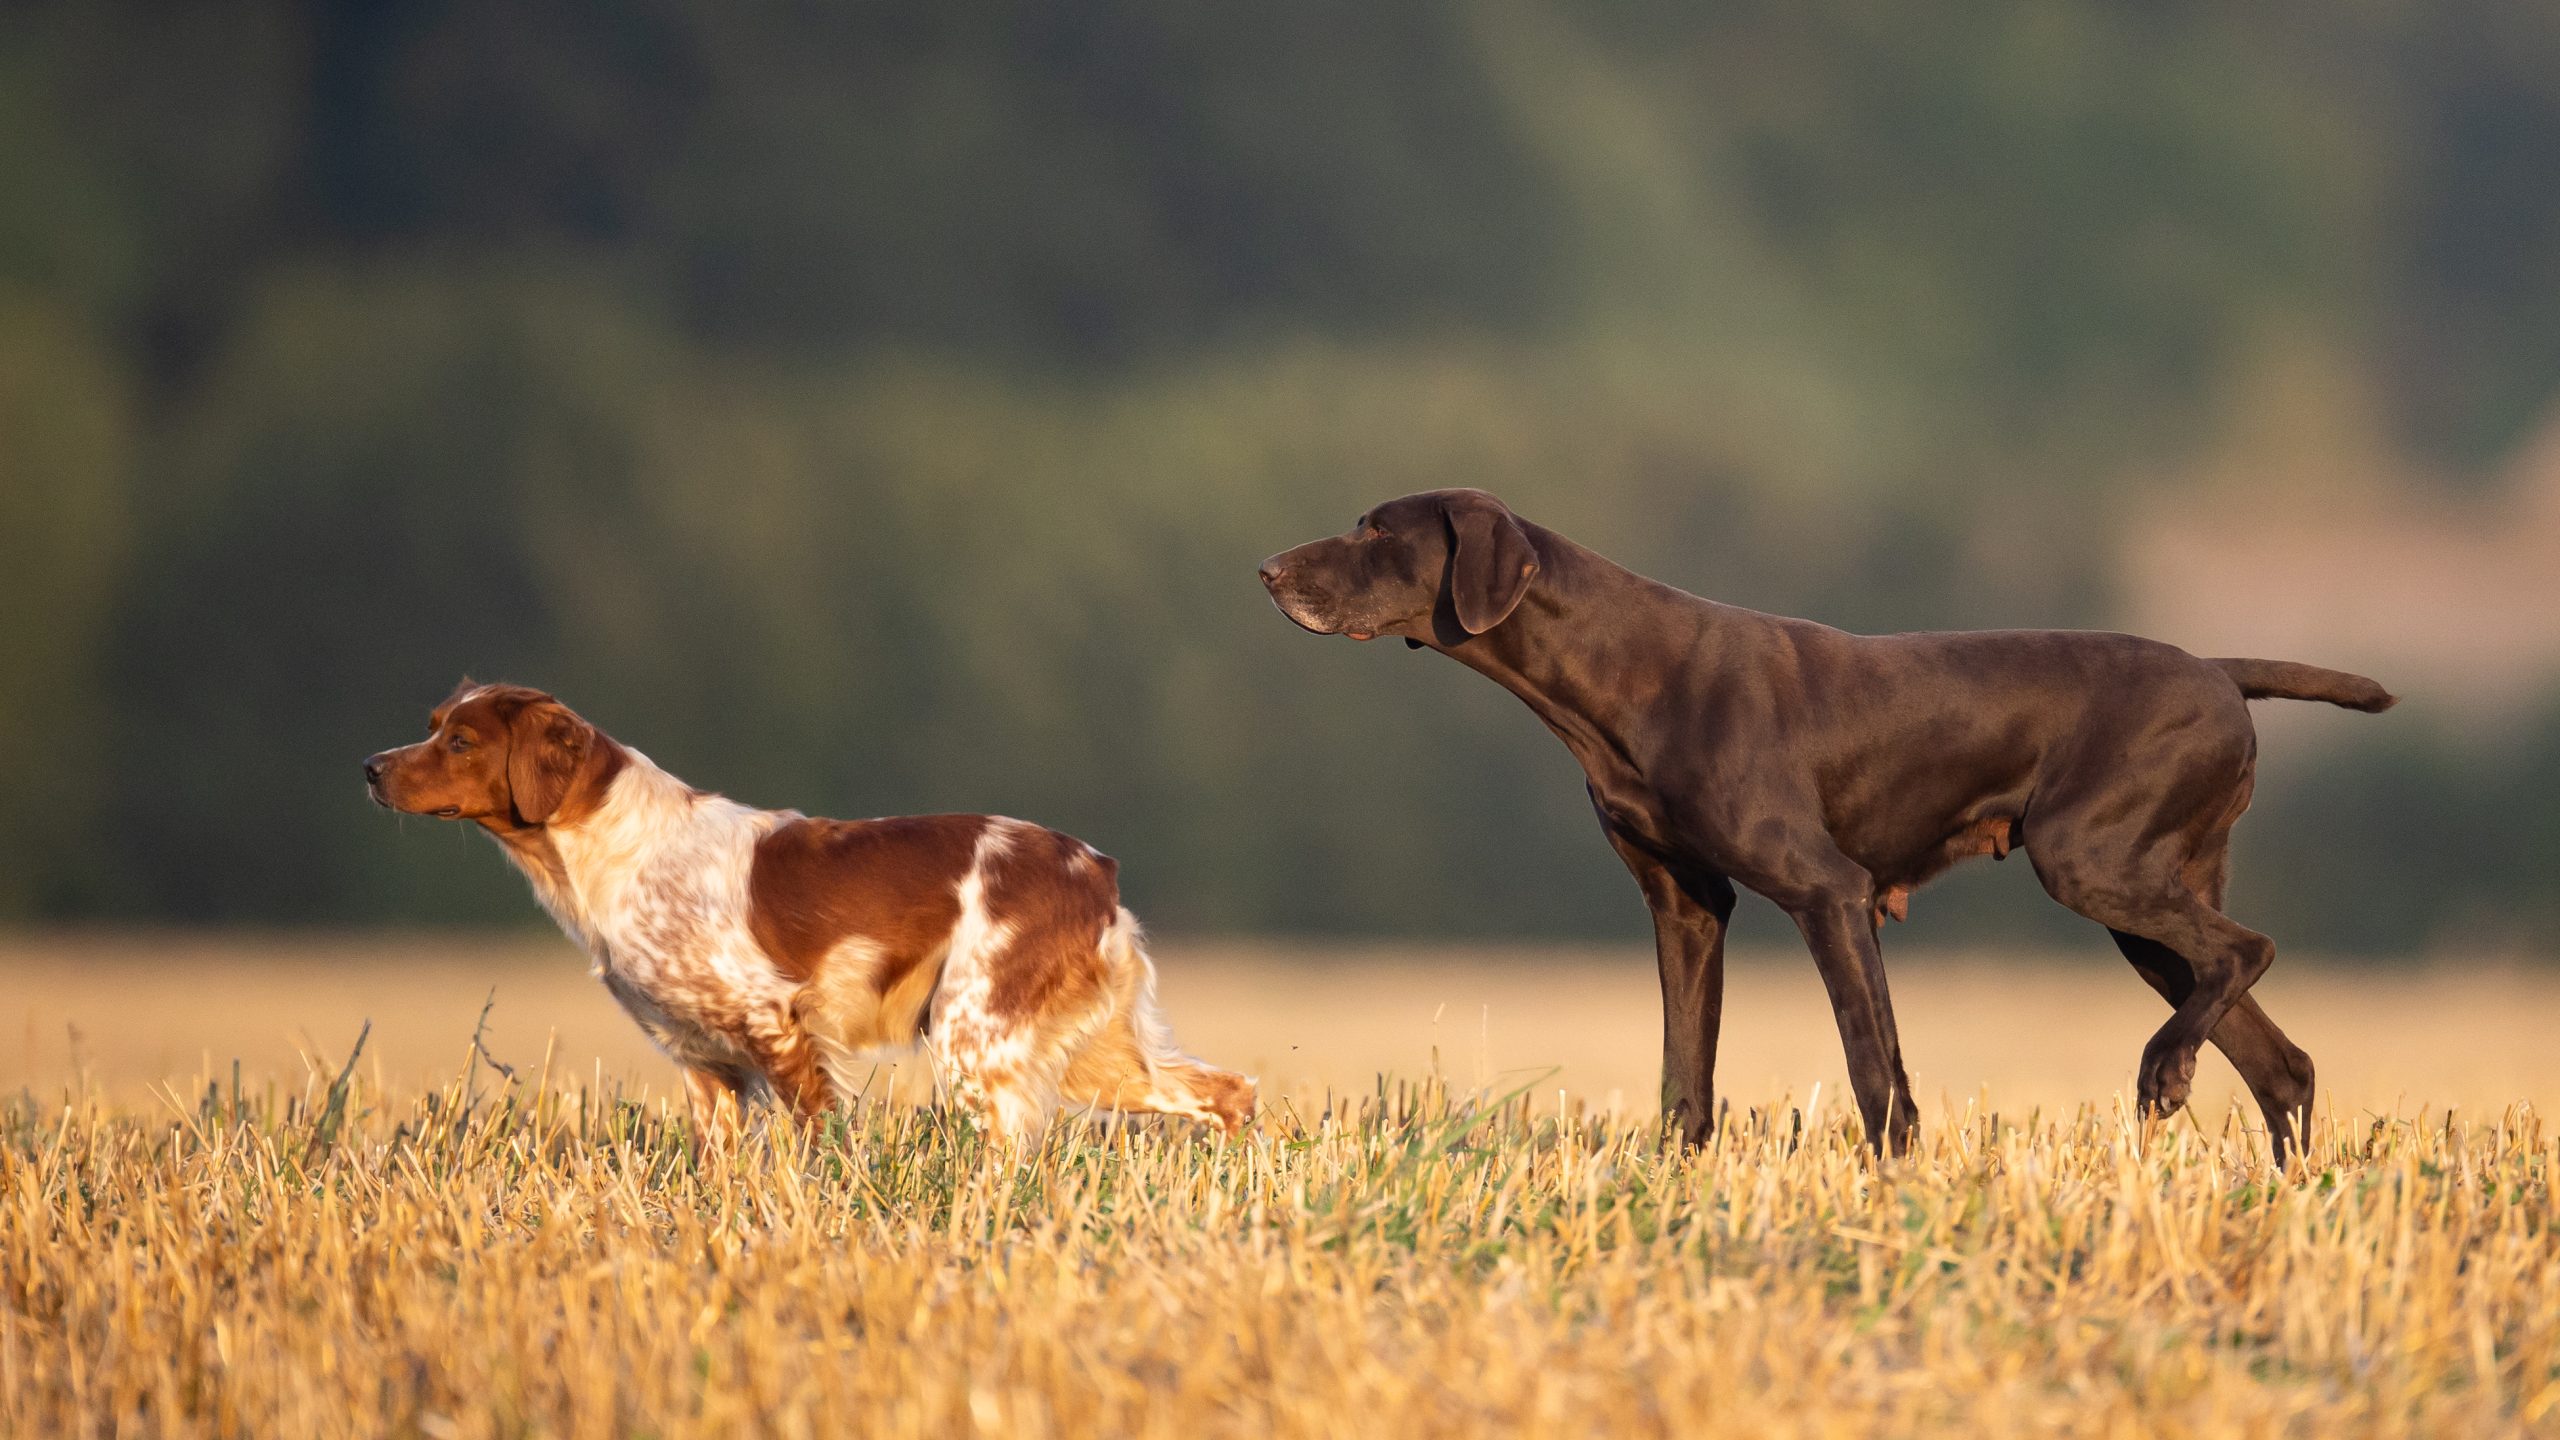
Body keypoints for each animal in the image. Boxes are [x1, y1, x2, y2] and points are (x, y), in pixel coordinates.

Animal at [364, 681, 1254, 1140]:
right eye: (432, 727)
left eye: (460, 742)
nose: (369, 767)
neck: (617, 848)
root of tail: (1094, 867)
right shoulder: (706, 1063)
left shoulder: (774, 1021)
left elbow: (822, 1139)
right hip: (1088, 1054)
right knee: (1229, 1091)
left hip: (977, 1034)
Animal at [1261, 489, 2393, 1160]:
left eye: (1377, 531)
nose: (1267, 572)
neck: (1621, 673)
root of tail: (2217, 670)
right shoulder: (1685, 907)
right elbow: (1685, 1073)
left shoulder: (1827, 894)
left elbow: (1872, 1066)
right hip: (2141, 911)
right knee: (2279, 1059)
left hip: (2092, 864)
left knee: (2247, 951)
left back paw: (2165, 1071)